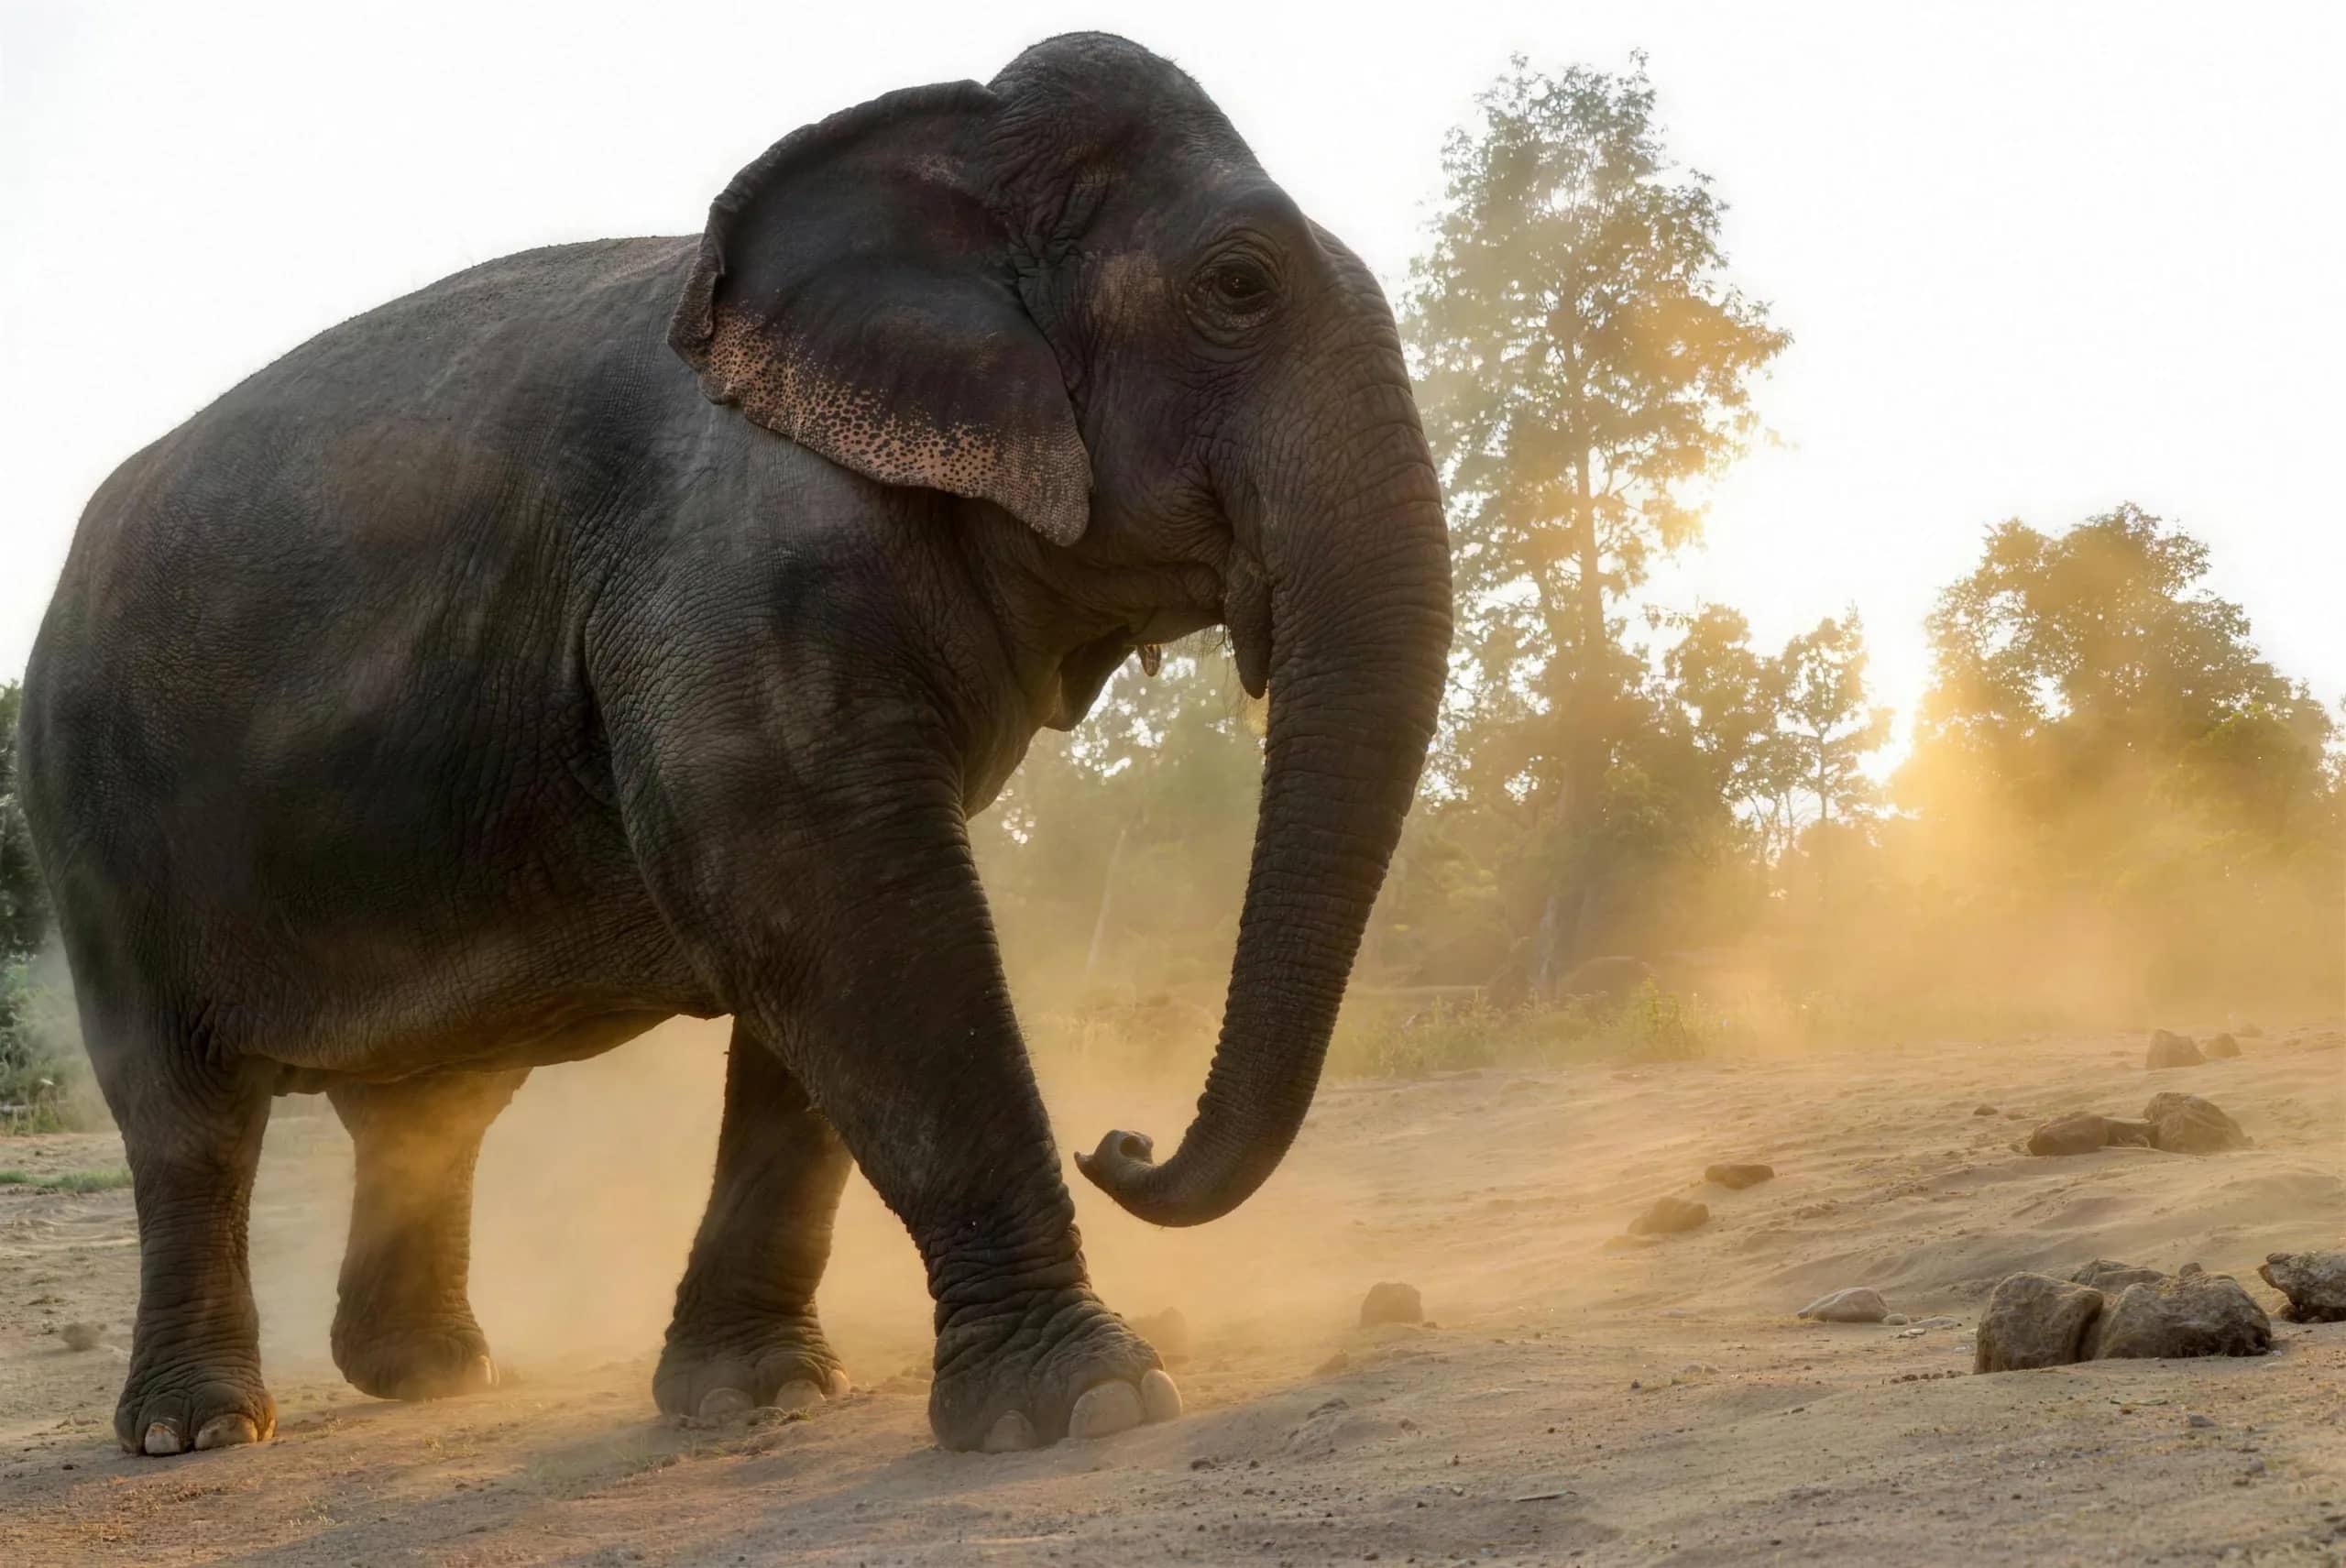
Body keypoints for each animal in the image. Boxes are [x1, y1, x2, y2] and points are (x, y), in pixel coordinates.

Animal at [16, 32, 1451, 1457]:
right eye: (1239, 283)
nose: (1125, 1141)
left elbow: (816, 965)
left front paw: (757, 1391)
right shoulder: (724, 585)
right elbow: (838, 911)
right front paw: (1086, 1401)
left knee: (434, 1103)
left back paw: (431, 1374)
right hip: (90, 819)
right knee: (185, 1112)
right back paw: (199, 1427)